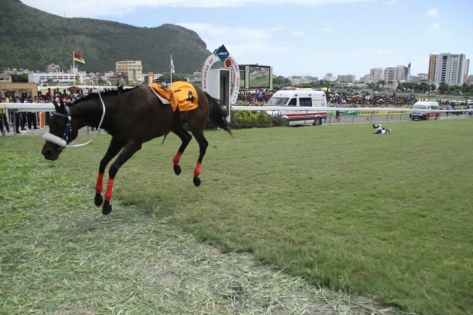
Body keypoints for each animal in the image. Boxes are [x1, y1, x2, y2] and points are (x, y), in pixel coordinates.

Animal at [41, 82, 230, 216]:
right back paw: (176, 165)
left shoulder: (133, 144)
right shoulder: (117, 140)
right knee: (186, 138)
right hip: (175, 125)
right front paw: (97, 197)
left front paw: (107, 204)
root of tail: (202, 92)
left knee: (203, 145)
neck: (120, 108)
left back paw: (196, 177)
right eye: (50, 122)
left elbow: (113, 167)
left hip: (196, 125)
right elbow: (103, 163)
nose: (46, 152)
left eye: (59, 124)